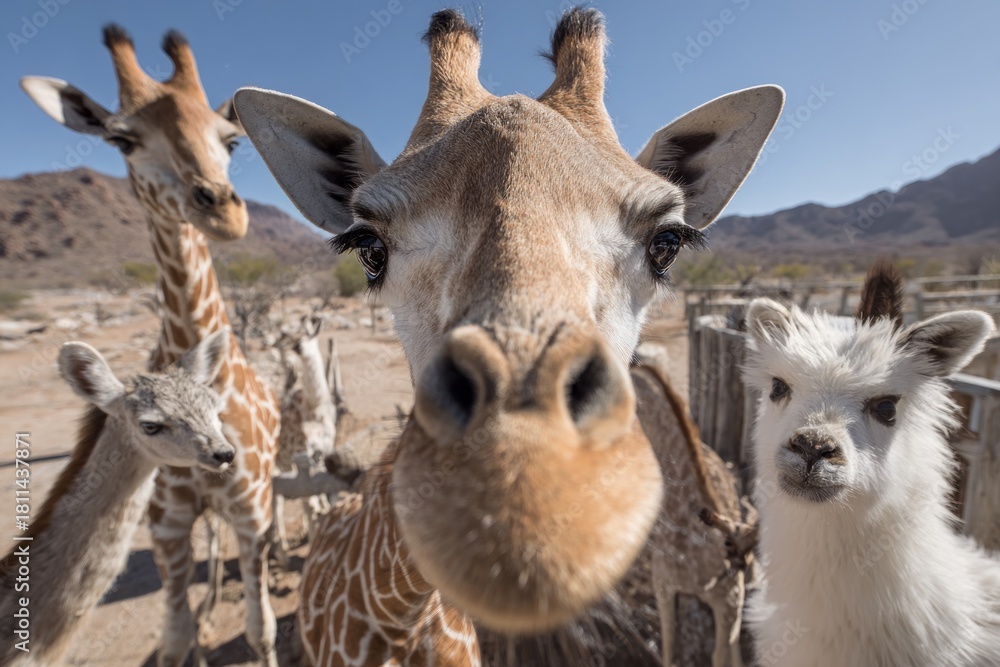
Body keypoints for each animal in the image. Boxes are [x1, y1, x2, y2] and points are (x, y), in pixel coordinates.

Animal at [273, 314, 338, 566]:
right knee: (277, 501)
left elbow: (323, 491)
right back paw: (282, 554)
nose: (288, 362)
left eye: (299, 343)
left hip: (285, 462)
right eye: (287, 342)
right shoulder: (303, 450)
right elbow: (309, 498)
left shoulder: (324, 450)